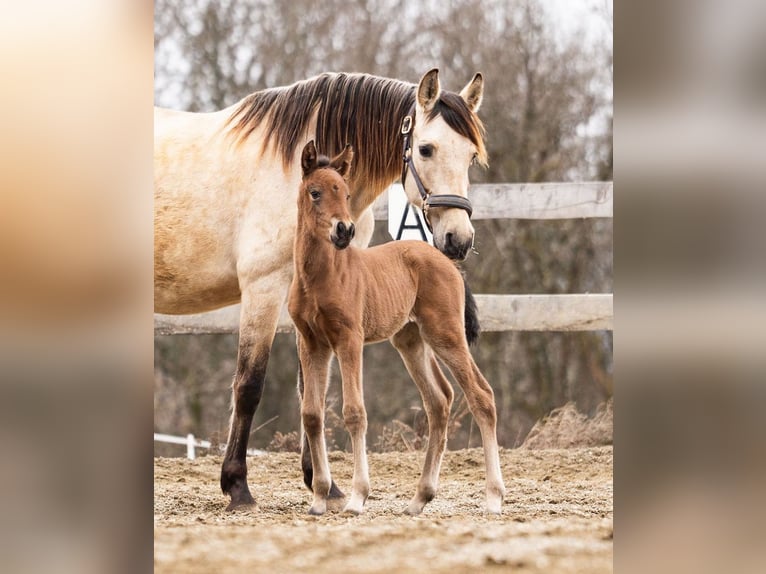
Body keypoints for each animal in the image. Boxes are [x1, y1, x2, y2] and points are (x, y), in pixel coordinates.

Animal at [288, 140, 505, 515]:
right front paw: (318, 498)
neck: (319, 277)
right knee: (439, 400)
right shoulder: (312, 342)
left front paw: (357, 497)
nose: (344, 231)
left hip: (446, 334)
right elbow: (312, 415)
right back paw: (419, 499)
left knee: (481, 395)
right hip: (411, 341)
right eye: (315, 193)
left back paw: (493, 497)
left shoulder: (349, 339)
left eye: (346, 193)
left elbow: (354, 412)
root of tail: (447, 261)